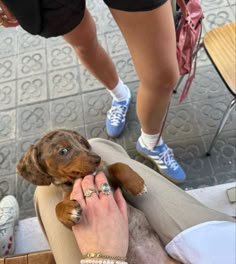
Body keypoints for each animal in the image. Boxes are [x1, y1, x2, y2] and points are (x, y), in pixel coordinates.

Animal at [16, 129, 179, 262]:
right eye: (63, 151)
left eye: (81, 141)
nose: (97, 158)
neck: (81, 178)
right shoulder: (70, 225)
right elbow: (58, 208)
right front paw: (68, 211)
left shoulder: (109, 177)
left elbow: (119, 165)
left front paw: (137, 184)